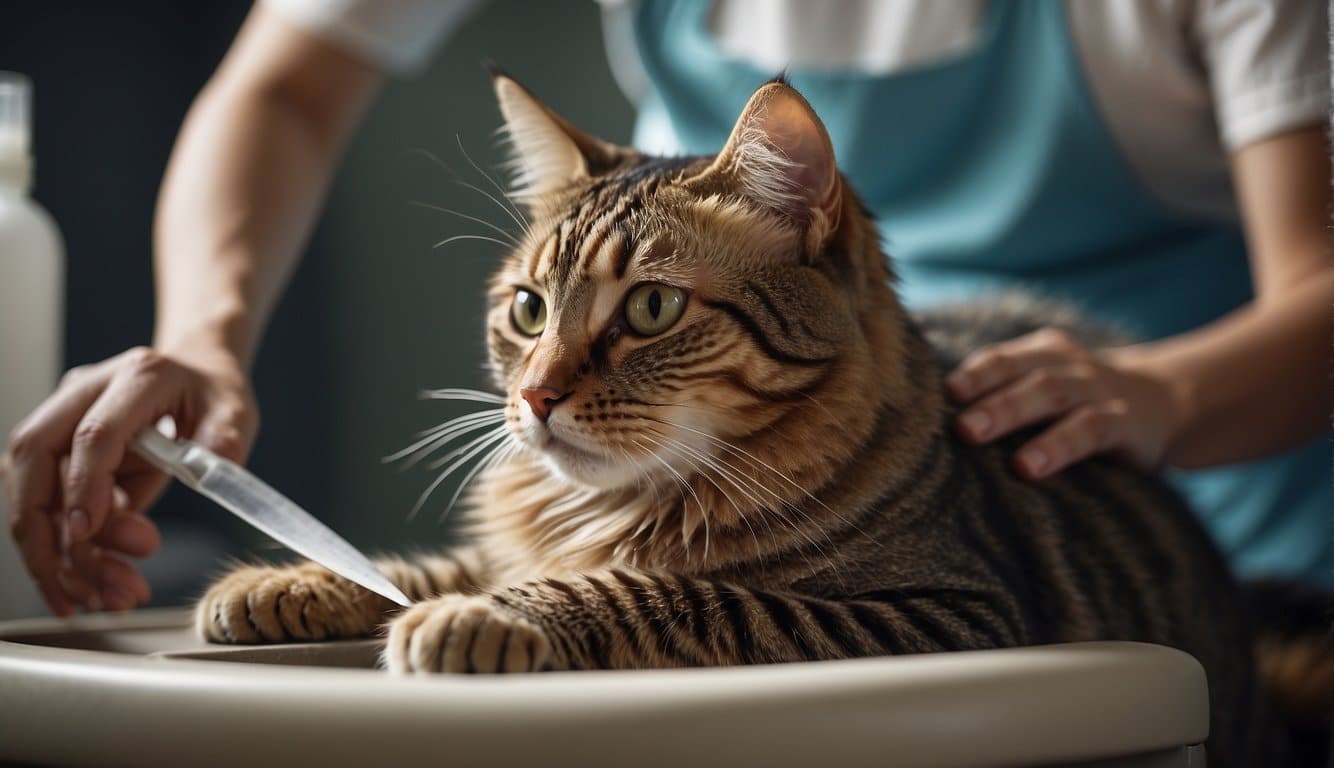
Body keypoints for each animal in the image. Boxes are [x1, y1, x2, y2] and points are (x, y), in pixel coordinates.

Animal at [193, 75, 1328, 762]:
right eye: (527, 311)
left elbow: (649, 591)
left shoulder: (941, 611)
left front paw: (485, 619)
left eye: (651, 309)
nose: (532, 397)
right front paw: (283, 583)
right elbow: (436, 563)